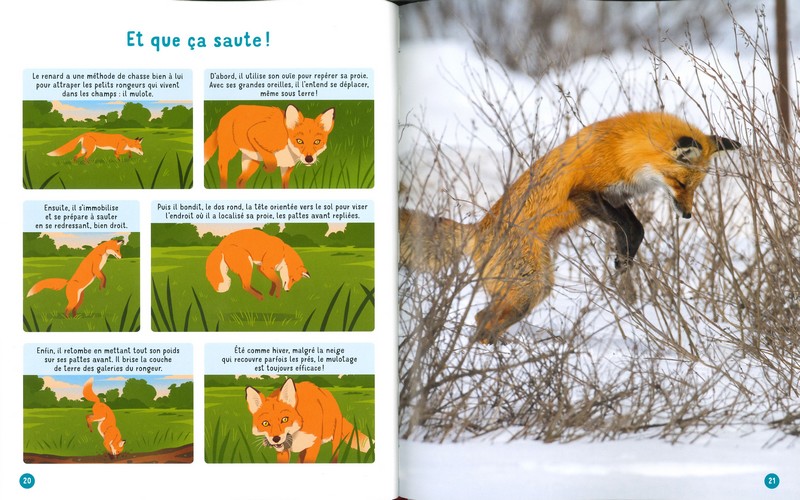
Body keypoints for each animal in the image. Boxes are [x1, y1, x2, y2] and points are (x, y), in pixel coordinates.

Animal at [204, 104, 335, 189]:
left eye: (317, 142)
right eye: (299, 141)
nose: (309, 159)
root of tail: (225, 115)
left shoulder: (286, 168)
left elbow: (285, 186)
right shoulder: (254, 134)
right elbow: (272, 161)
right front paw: (267, 168)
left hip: (251, 162)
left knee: (239, 181)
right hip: (229, 151)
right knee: (222, 166)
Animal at [400, 111, 741, 343]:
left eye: (696, 187)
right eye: (681, 183)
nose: (687, 215)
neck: (624, 149)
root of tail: (476, 229)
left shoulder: (615, 198)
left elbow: (635, 229)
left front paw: (623, 261)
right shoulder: (584, 193)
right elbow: (630, 227)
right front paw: (622, 262)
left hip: (531, 287)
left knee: (481, 315)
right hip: (530, 287)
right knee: (484, 317)